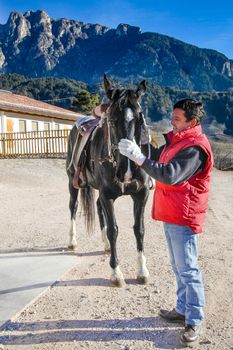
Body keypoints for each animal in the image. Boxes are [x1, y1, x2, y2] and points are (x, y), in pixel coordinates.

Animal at [66, 74, 150, 288]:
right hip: (72, 181)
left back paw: (105, 245)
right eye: (111, 120)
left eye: (140, 118)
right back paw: (72, 241)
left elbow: (139, 230)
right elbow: (114, 230)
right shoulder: (108, 195)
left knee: (97, 207)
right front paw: (116, 273)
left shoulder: (141, 194)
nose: (126, 170)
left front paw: (142, 271)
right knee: (73, 206)